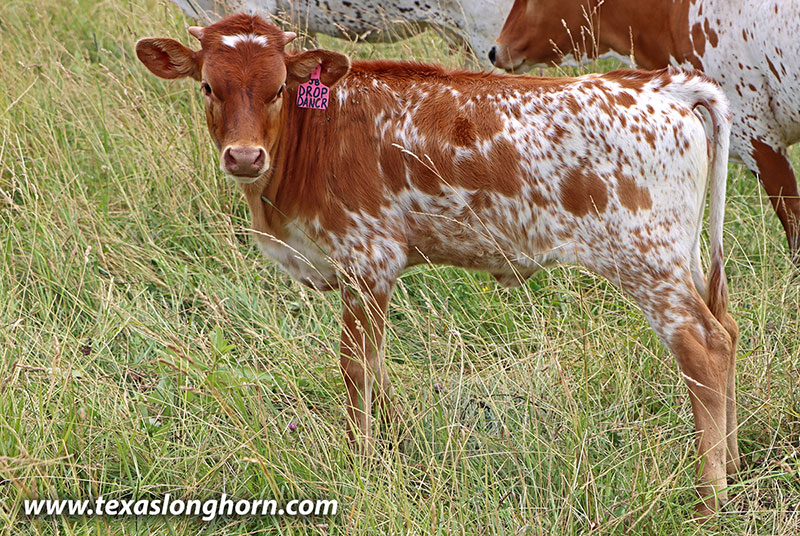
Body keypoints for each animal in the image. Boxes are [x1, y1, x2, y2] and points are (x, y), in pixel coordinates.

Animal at [136, 13, 738, 515]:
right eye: (208, 87)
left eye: (279, 88)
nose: (243, 156)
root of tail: (660, 84)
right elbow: (377, 365)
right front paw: (397, 446)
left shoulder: (368, 260)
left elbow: (356, 368)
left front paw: (360, 461)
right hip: (683, 257)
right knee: (727, 330)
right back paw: (732, 462)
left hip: (646, 261)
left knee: (701, 345)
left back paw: (709, 497)